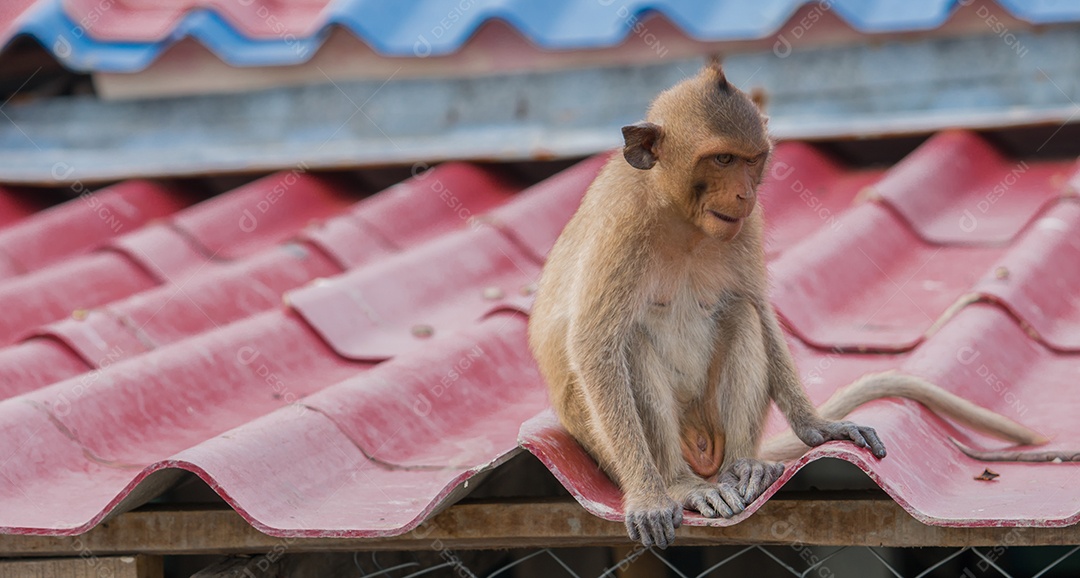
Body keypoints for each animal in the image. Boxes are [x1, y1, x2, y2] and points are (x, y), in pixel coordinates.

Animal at [527, 61, 1058, 548]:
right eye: (722, 159)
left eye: (752, 160)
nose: (744, 192)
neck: (678, 215)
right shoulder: (621, 225)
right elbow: (595, 342)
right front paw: (649, 495)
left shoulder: (747, 225)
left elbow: (759, 311)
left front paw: (816, 425)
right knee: (631, 344)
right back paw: (680, 485)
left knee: (741, 315)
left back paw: (746, 467)